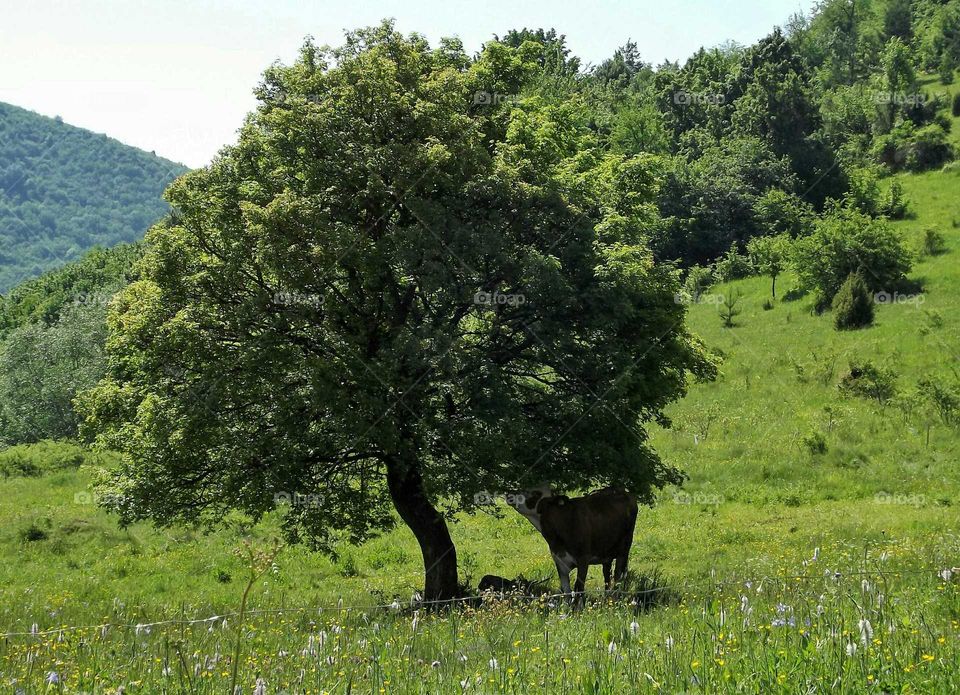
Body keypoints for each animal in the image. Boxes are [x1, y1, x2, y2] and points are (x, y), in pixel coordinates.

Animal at [507, 485, 638, 600]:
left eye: (535, 493)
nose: (509, 495)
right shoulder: (559, 561)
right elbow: (566, 591)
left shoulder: (583, 559)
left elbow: (579, 588)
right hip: (606, 553)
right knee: (607, 575)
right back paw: (607, 599)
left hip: (624, 549)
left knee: (618, 576)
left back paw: (615, 600)